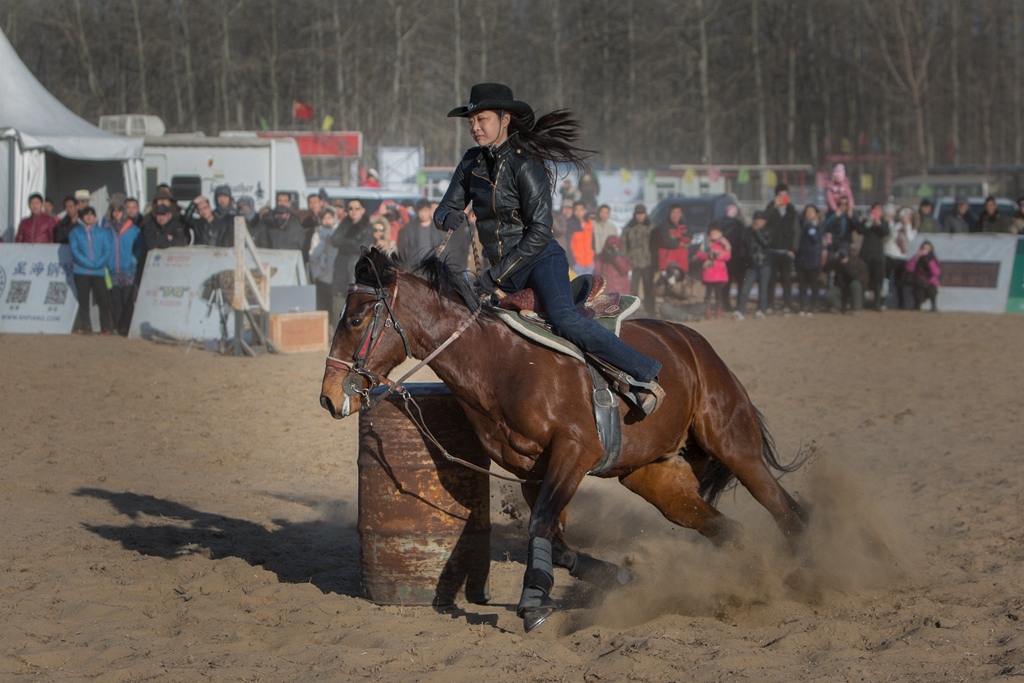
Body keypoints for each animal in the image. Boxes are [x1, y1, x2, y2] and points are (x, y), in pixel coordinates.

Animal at [319, 248, 806, 634]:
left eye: (357, 318)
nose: (328, 396)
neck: (500, 362)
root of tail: (693, 343)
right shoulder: (531, 471)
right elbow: (553, 539)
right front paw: (617, 579)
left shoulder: (575, 452)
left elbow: (540, 526)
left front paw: (533, 604)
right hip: (657, 480)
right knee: (728, 530)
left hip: (735, 445)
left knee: (787, 511)